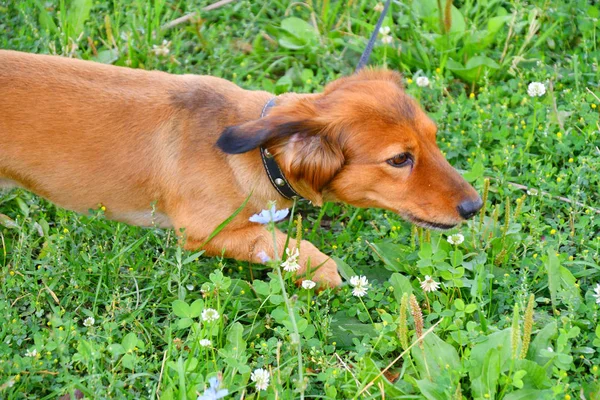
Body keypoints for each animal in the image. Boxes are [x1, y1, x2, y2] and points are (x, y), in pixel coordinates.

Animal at [0, 50, 480, 288]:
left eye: (434, 138)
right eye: (399, 159)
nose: (474, 207)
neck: (258, 154)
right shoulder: (202, 234)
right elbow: (280, 243)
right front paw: (322, 270)